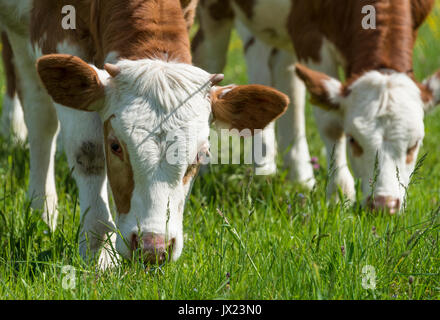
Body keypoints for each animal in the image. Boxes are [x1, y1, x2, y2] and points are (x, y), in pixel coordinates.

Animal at [0, 0, 288, 266]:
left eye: (201, 155)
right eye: (115, 146)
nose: (153, 248)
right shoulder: (53, 27)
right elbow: (87, 150)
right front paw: (98, 252)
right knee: (39, 112)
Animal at [194, 0, 440, 215]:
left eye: (415, 145)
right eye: (353, 140)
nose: (383, 205)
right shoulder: (309, 34)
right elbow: (331, 124)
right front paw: (339, 194)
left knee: (277, 71)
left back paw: (288, 174)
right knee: (209, 55)